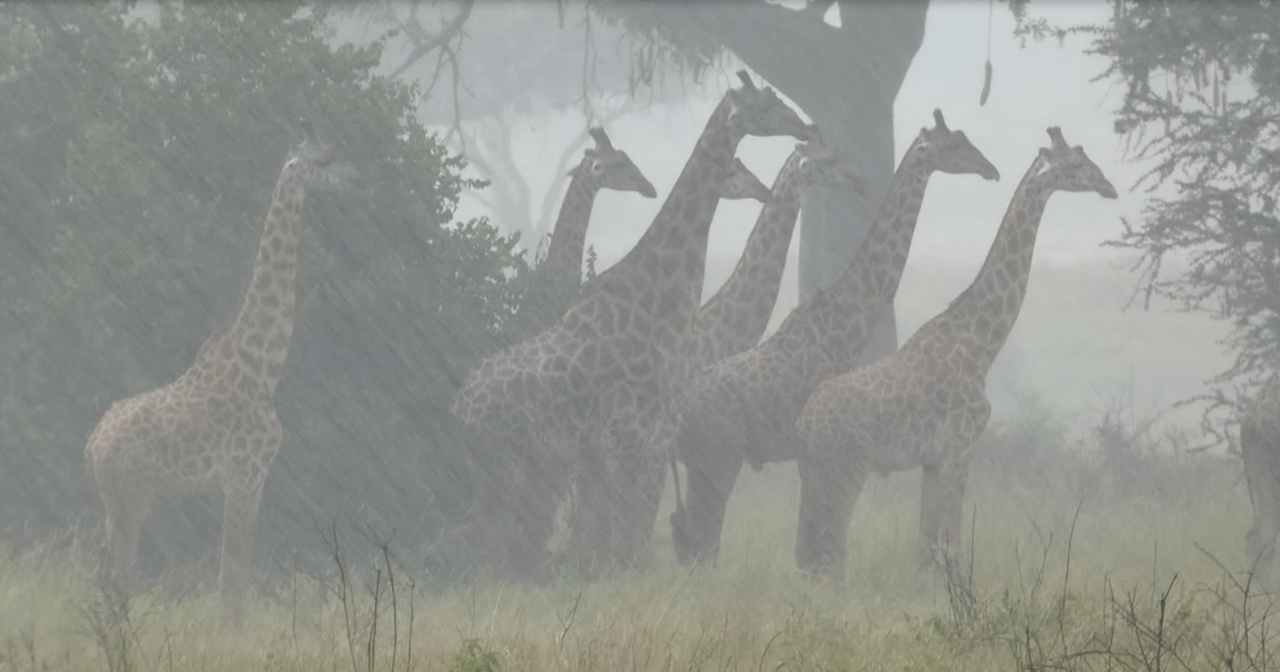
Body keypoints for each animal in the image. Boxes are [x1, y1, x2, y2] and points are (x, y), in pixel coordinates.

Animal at [86, 121, 359, 626]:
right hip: (131, 494)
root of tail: (93, 444)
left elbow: (234, 575)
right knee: (117, 574)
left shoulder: (246, 480)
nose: (355, 180)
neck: (263, 366)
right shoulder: (245, 474)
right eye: (324, 161)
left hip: (121, 499)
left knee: (108, 574)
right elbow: (232, 578)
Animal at [450, 70, 812, 579]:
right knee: (489, 541)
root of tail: (457, 408)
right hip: (505, 463)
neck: (657, 296)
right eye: (764, 106)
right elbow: (625, 541)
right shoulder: (631, 438)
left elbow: (620, 539)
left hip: (519, 465)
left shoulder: (629, 445)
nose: (804, 126)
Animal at [669, 110, 1001, 567]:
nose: (991, 169)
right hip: (717, 459)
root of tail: (680, 411)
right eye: (955, 146)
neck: (849, 318)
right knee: (701, 536)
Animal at [791, 126, 1117, 582]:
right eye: (1075, 165)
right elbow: (953, 543)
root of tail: (805, 423)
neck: (981, 345)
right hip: (845, 469)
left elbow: (927, 549)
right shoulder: (960, 446)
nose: (1109, 186)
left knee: (809, 553)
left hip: (813, 473)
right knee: (830, 553)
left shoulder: (933, 459)